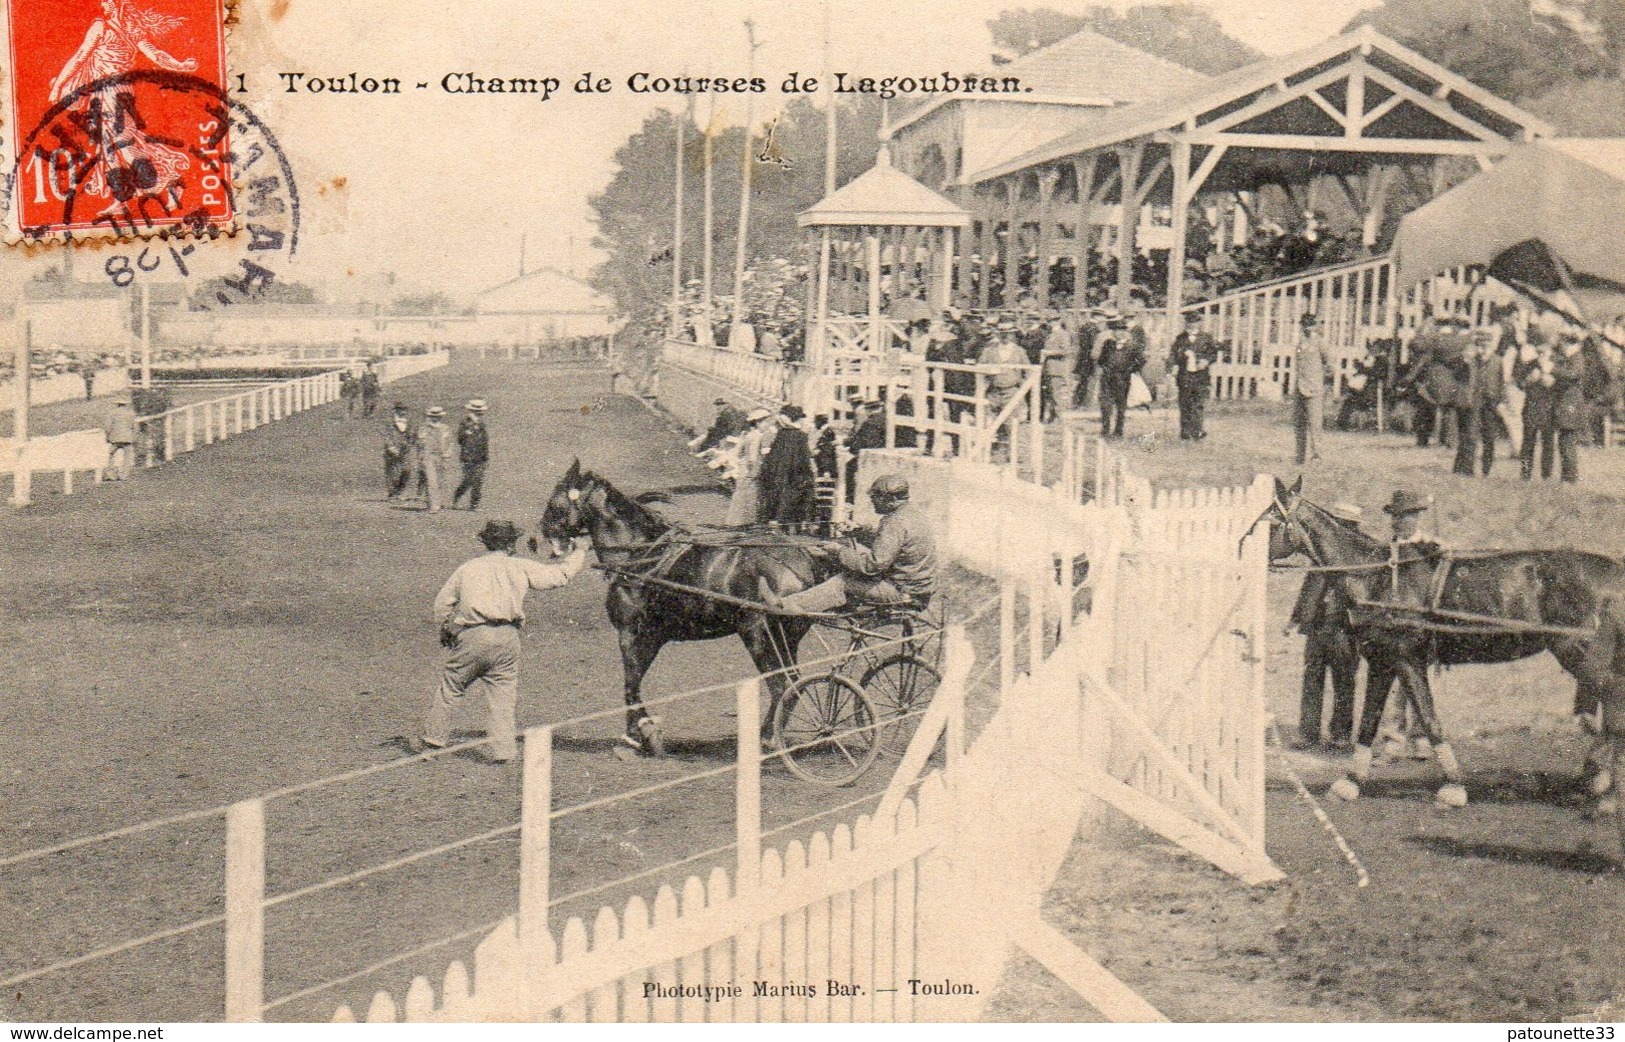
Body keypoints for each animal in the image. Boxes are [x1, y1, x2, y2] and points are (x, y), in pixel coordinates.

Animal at [542, 458, 832, 751]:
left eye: (555, 499)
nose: (541, 534)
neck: (641, 556)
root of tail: (803, 562)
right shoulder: (653, 636)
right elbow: (636, 678)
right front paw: (644, 731)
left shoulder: (630, 632)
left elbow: (631, 681)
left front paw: (636, 735)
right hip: (786, 639)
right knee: (793, 683)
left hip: (759, 636)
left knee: (781, 684)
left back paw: (767, 738)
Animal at [1261, 474, 1625, 851]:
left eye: (1269, 520)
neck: (1378, 578)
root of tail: (1615, 571)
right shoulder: (1384, 660)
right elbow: (1369, 722)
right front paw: (1350, 781)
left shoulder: (1405, 658)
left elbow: (1428, 718)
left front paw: (1452, 786)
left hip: (1584, 654)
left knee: (1613, 712)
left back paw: (1603, 791)